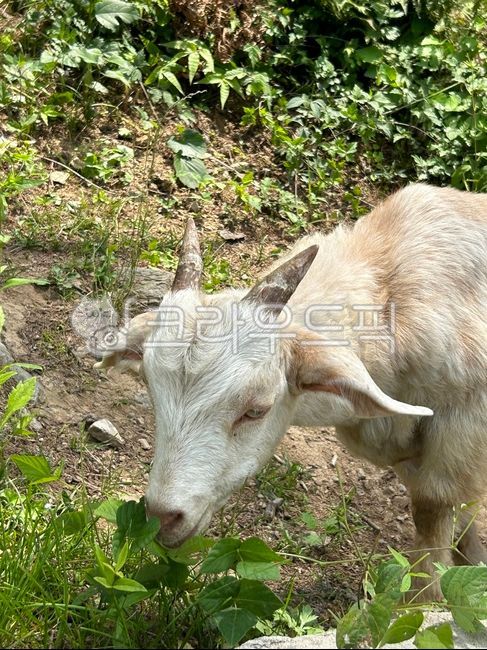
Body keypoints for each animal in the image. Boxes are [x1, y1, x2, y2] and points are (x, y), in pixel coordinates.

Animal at [95, 183, 487, 600]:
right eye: (152, 394)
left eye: (256, 409)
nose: (163, 517)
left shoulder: (463, 428)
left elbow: (434, 508)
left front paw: (424, 602)